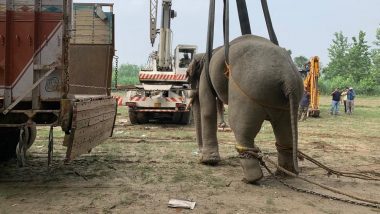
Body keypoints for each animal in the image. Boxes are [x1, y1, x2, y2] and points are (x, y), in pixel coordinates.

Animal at [187, 34, 302, 183]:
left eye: (189, 76)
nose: (199, 153)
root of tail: (289, 79)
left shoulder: (205, 78)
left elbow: (207, 108)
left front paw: (208, 162)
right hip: (283, 102)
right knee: (285, 130)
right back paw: (284, 174)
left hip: (249, 93)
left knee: (241, 127)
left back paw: (251, 179)